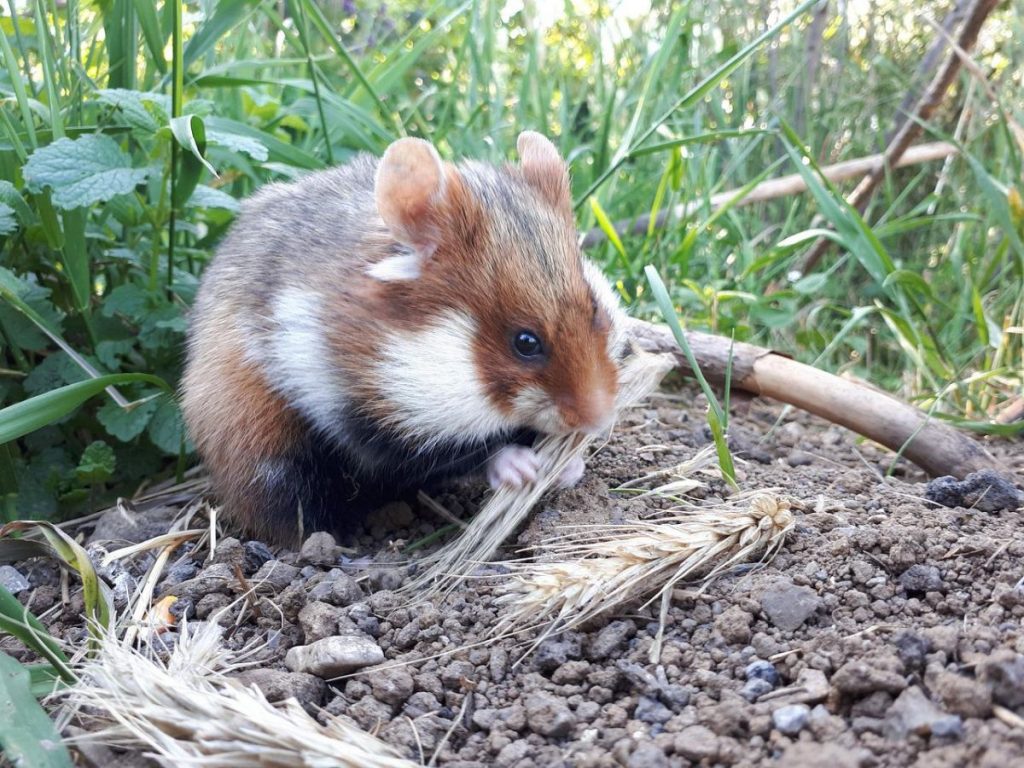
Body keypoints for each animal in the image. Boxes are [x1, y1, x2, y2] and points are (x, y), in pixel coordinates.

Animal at [184, 132, 626, 544]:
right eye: (525, 342)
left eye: (594, 309)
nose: (600, 420)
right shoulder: (364, 420)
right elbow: (450, 457)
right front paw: (523, 468)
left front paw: (569, 467)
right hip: (261, 448)